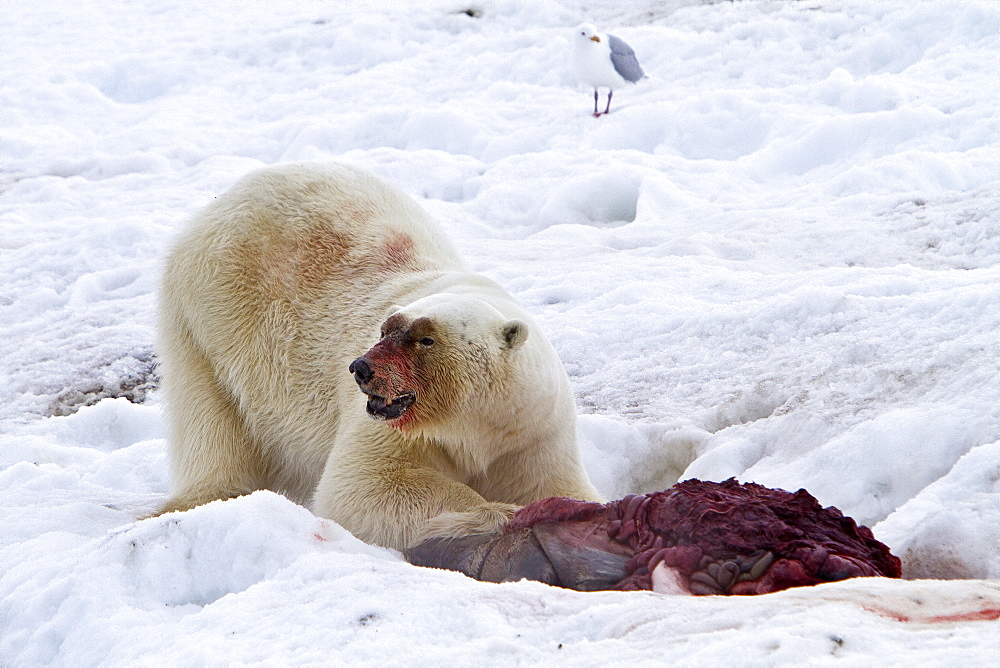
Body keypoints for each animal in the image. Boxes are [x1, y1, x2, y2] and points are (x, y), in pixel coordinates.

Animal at [158, 160, 600, 548]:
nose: (361, 368)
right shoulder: (396, 430)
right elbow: (364, 484)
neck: (474, 426)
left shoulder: (531, 430)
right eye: (386, 329)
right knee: (212, 418)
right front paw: (500, 512)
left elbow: (557, 484)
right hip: (213, 317)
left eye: (425, 339)